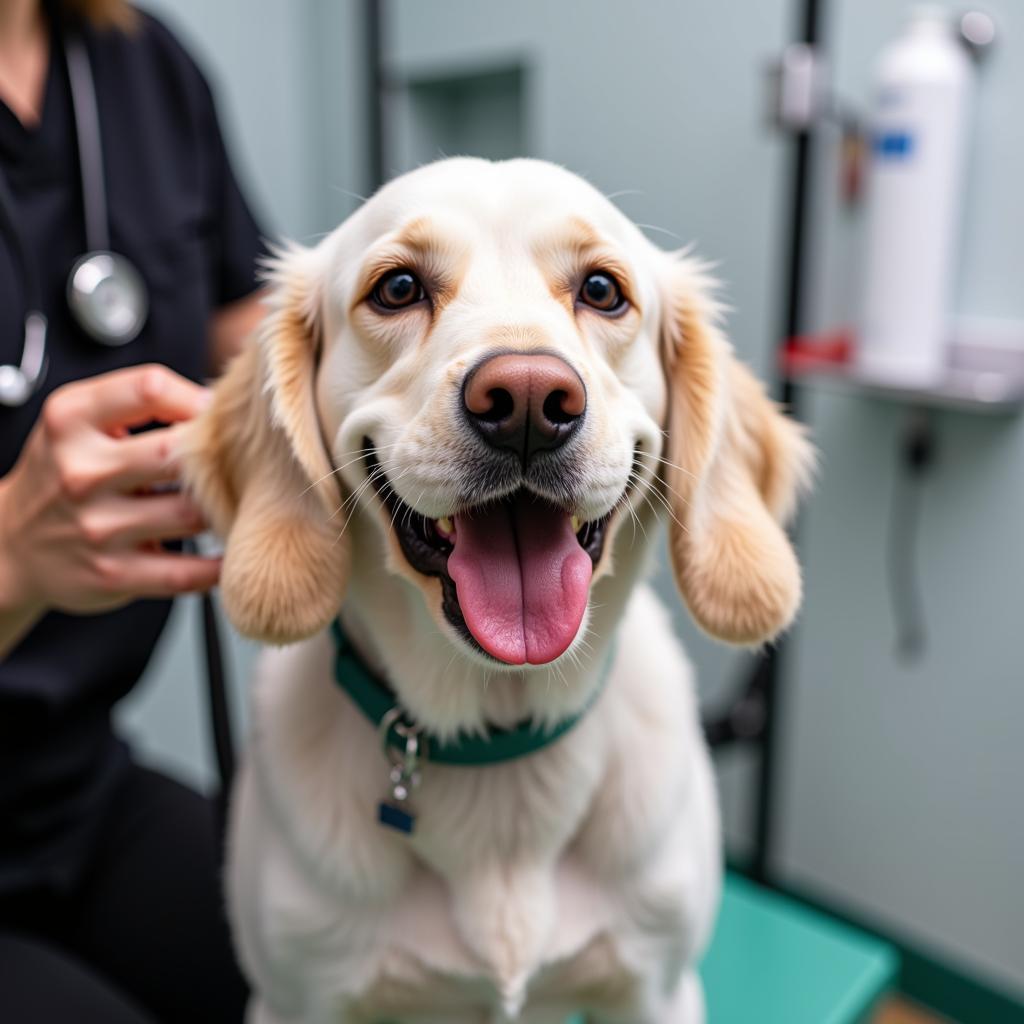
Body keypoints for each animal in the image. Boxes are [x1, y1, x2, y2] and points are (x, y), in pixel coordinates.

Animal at [180, 153, 811, 1024]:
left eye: (603, 290)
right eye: (398, 288)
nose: (527, 402)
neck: (500, 746)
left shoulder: (658, 988)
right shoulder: (293, 1000)